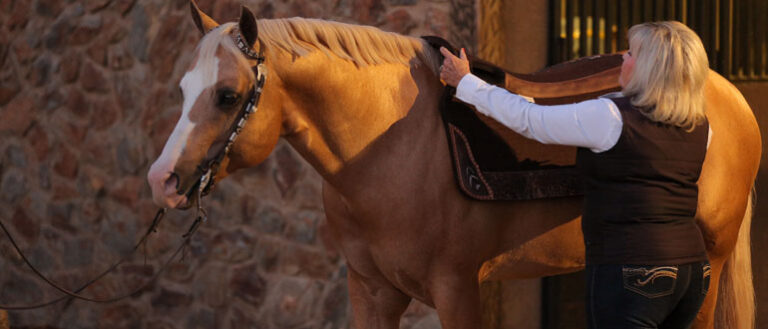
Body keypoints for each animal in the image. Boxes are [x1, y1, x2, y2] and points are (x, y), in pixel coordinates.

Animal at [147, 3, 760, 328]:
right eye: (180, 89)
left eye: (227, 96)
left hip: (709, 266)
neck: (388, 148)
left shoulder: (459, 290)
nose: (162, 180)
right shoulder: (370, 291)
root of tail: (725, 93)